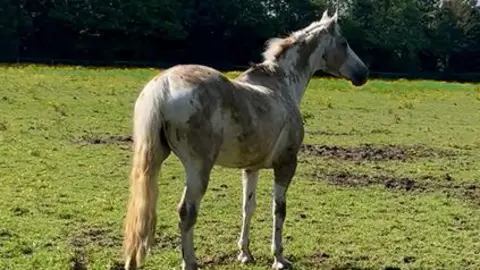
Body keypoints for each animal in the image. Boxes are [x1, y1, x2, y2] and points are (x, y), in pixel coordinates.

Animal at [123, 8, 368, 270]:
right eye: (343, 43)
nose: (364, 73)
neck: (281, 84)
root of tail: (164, 84)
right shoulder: (286, 164)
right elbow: (279, 210)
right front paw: (279, 257)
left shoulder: (251, 168)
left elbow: (247, 207)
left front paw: (245, 253)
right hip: (198, 168)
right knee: (186, 213)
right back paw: (190, 261)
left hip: (153, 160)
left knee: (141, 209)